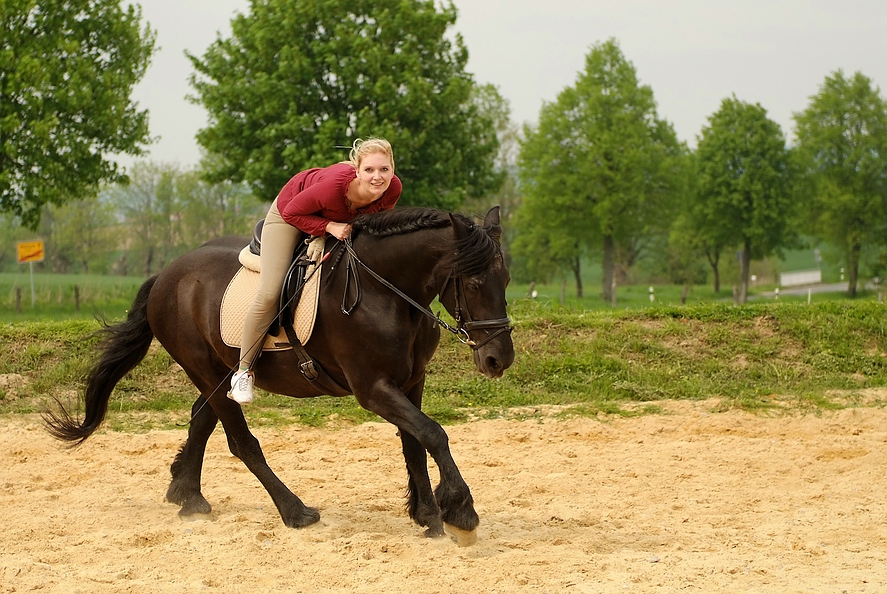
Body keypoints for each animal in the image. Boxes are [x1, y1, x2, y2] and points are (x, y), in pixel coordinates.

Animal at [43, 206, 512, 544]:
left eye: (506, 279)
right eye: (473, 283)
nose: (499, 359)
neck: (386, 292)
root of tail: (166, 276)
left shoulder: (411, 383)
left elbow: (415, 443)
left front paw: (428, 516)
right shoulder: (373, 389)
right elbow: (434, 434)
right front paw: (460, 511)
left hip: (221, 374)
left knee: (201, 420)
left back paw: (188, 495)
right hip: (202, 367)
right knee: (241, 442)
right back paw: (295, 511)